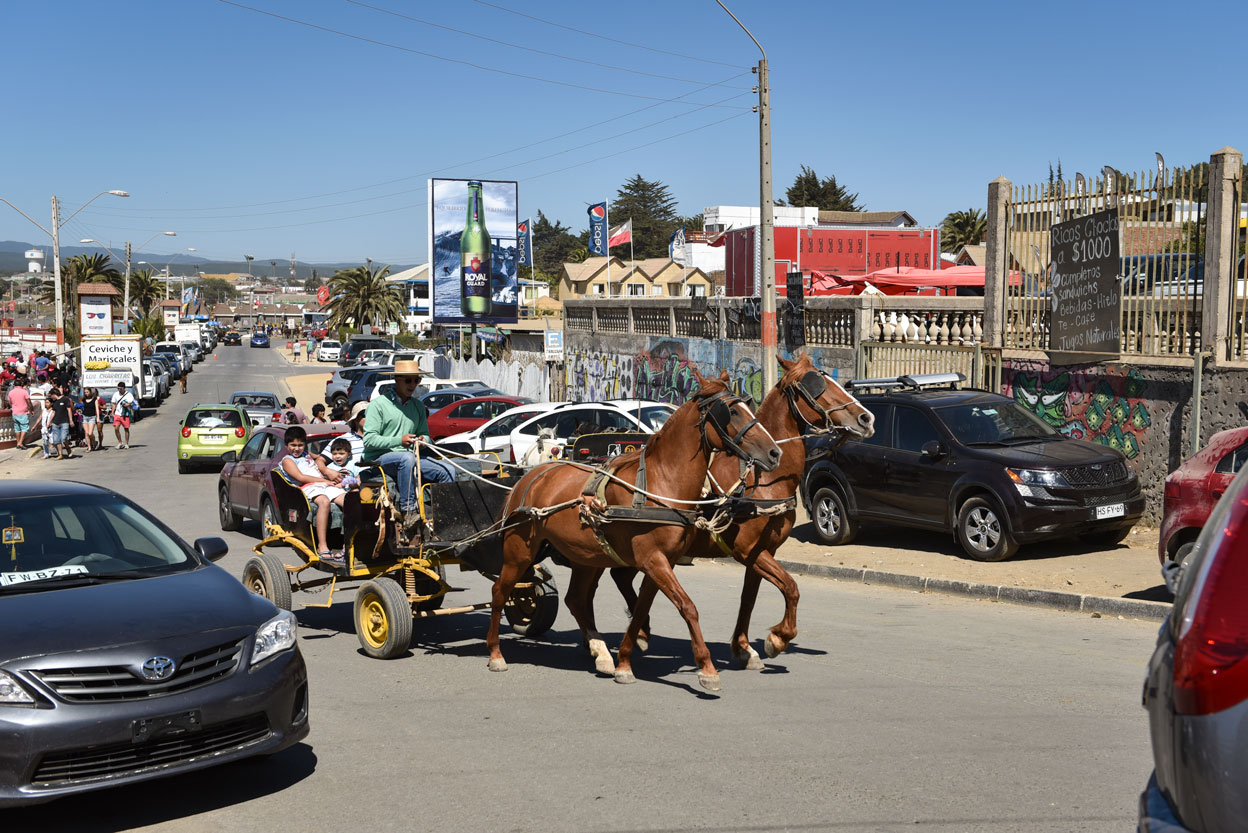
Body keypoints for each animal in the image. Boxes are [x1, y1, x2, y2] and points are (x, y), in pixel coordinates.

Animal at [486, 374, 778, 694]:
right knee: (500, 592)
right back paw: (495, 653)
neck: (660, 482)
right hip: (519, 551)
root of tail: (529, 476)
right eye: (731, 412)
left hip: (586, 556)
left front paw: (625, 660)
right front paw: (707, 668)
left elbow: (640, 609)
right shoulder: (653, 560)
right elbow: (687, 606)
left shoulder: (661, 562)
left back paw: (601, 653)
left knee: (576, 599)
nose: (774, 452)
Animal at [609, 352, 873, 684]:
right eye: (816, 386)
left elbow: (750, 598)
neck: (763, 480)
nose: (866, 418)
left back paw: (640, 633)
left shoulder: (762, 551)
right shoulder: (748, 550)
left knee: (621, 576)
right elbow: (790, 587)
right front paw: (777, 639)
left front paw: (745, 649)